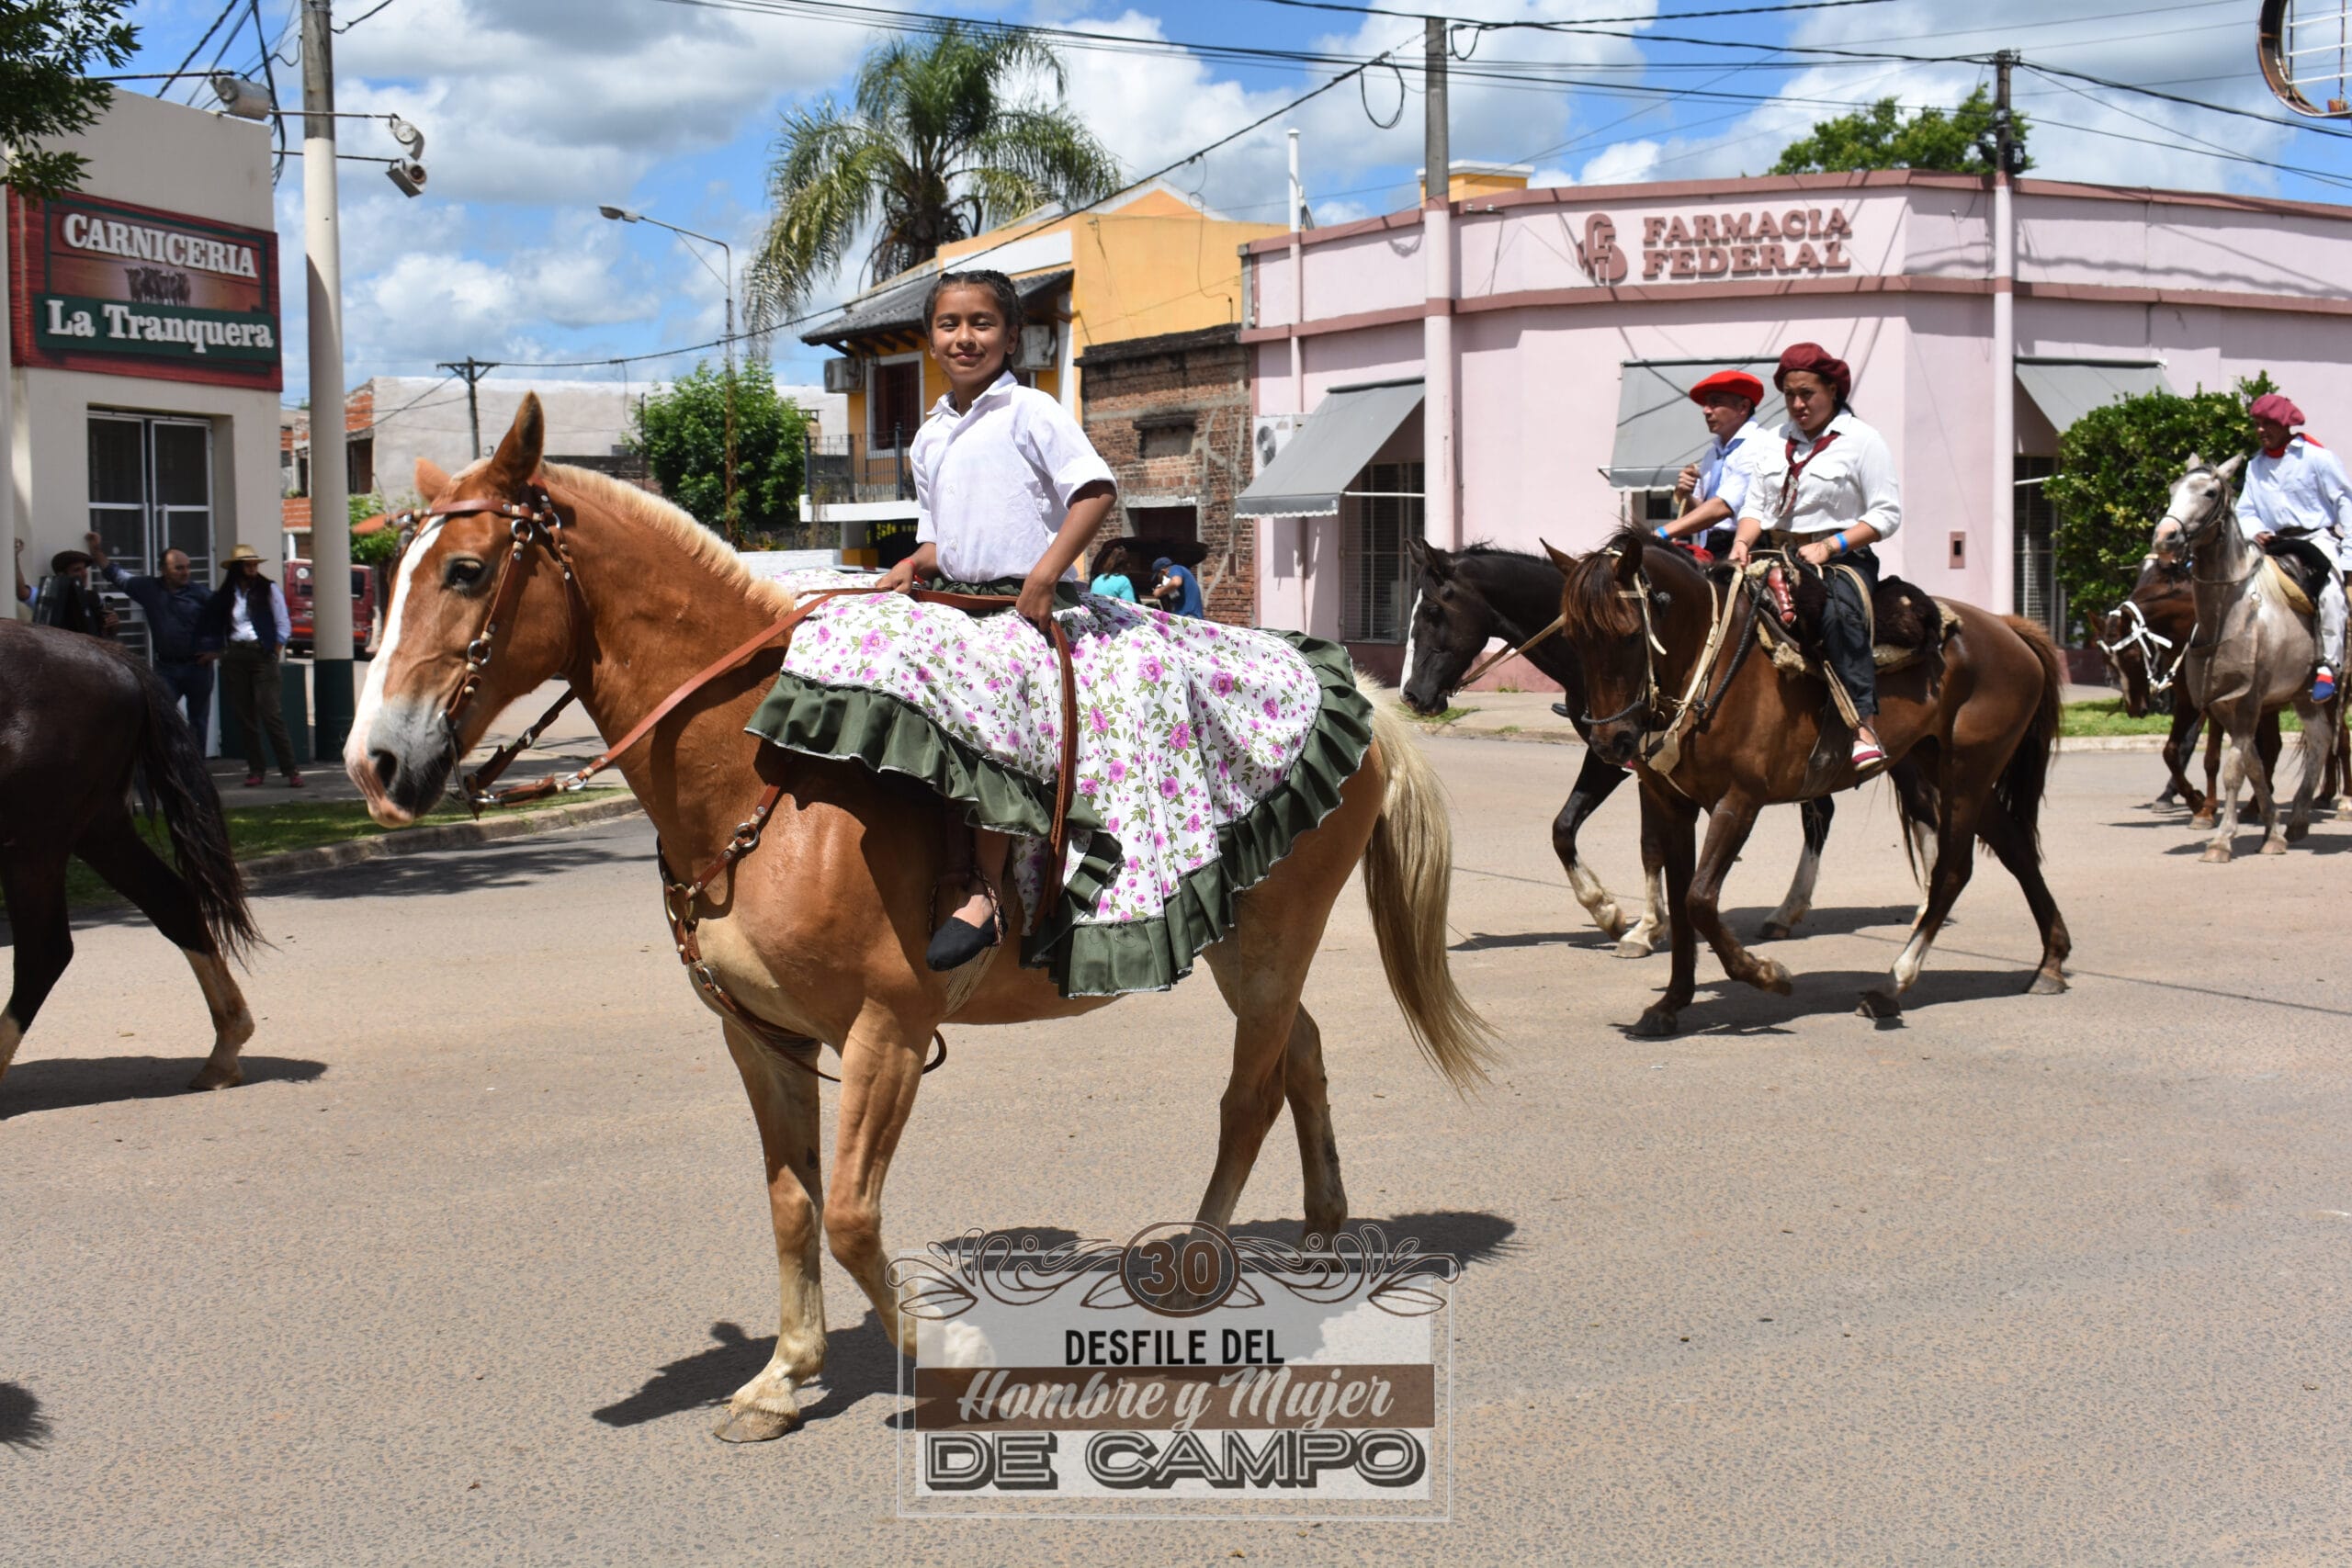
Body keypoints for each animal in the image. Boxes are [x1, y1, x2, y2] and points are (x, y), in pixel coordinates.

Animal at [0, 621, 258, 1091]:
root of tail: (112, 657)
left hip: (33, 843)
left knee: (43, 952)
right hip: (98, 831)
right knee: (173, 902)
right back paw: (226, 1046)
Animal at [344, 396, 1496, 1442]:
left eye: (466, 572)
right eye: (390, 579)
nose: (374, 763)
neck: (766, 776)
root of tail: (1351, 695)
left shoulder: (888, 1030)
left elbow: (853, 1215)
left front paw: (950, 1359)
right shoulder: (759, 1036)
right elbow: (794, 1203)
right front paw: (782, 1375)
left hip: (1265, 942)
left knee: (1249, 1094)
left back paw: (1194, 1275)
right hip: (1245, 948)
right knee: (1298, 1052)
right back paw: (1320, 1236)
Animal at [1399, 539, 1850, 958]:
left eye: (1433, 611)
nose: (1413, 695)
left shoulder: (1622, 758)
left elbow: (1640, 843)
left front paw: (1625, 919)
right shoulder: (1617, 755)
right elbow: (1571, 830)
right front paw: (1622, 917)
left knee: (1819, 816)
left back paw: (1786, 911)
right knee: (1821, 811)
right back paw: (1787, 911)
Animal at [1544, 529, 2069, 1037]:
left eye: (1632, 636)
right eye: (1574, 637)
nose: (1611, 741)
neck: (1711, 665)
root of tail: (2008, 629)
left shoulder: (1739, 802)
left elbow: (1699, 900)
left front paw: (1765, 974)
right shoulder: (1672, 803)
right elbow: (1680, 897)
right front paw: (1672, 1002)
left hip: (1967, 772)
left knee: (1953, 871)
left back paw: (1893, 983)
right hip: (1946, 764)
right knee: (2016, 848)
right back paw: (2050, 962)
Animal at [2157, 454, 2340, 861]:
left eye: (2210, 492)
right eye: (2173, 489)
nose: (2165, 536)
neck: (2229, 613)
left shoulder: (2249, 701)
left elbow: (2235, 770)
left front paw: (2222, 840)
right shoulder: (2225, 705)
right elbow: (2253, 766)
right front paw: (2273, 832)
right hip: (2304, 696)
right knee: (2321, 741)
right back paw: (2298, 820)